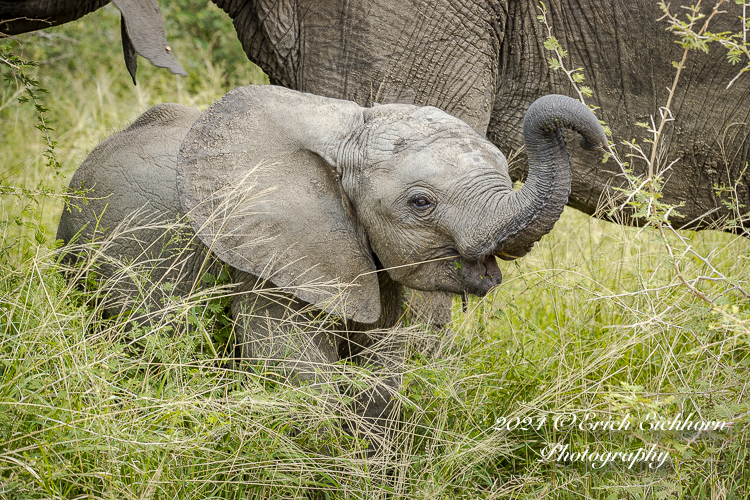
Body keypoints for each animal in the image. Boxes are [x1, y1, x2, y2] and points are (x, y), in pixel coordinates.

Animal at [58, 84, 612, 452]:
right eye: (420, 203)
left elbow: (386, 368)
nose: (593, 140)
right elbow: (292, 361)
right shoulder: (269, 251)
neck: (347, 131)